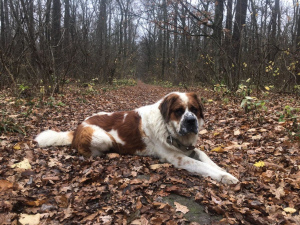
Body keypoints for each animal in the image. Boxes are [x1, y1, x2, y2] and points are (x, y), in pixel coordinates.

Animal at [34, 92, 239, 185]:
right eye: (179, 111)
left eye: (194, 110)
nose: (190, 121)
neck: (168, 128)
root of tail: (77, 127)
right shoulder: (178, 158)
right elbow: (202, 166)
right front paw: (225, 177)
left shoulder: (188, 148)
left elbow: (204, 156)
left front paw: (223, 169)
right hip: (101, 136)